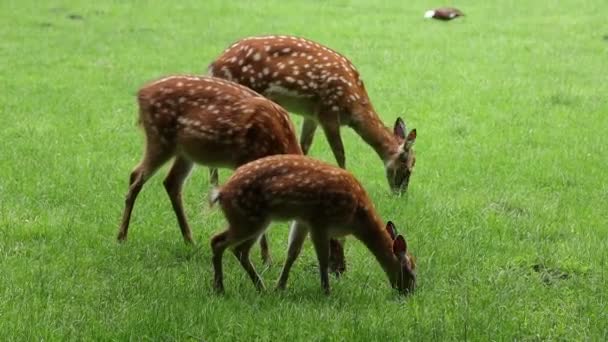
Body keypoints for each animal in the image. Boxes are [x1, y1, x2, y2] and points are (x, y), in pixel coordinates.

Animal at [114, 75, 304, 264]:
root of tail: (142, 93)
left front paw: (266, 257)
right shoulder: (247, 161)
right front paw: (267, 259)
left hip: (185, 151)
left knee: (171, 182)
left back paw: (189, 240)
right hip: (160, 138)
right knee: (136, 176)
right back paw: (121, 237)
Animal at [209, 35, 418, 195]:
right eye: (407, 168)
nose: (401, 195)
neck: (354, 105)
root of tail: (215, 65)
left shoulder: (311, 115)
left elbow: (304, 146)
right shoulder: (328, 112)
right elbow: (340, 153)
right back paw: (215, 185)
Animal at [210, 154, 418, 296]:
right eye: (410, 271)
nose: (409, 292)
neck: (357, 216)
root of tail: (221, 193)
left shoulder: (303, 220)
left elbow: (292, 252)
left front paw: (280, 287)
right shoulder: (320, 220)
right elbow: (323, 258)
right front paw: (327, 291)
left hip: (254, 220)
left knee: (239, 250)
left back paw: (261, 287)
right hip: (248, 218)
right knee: (218, 241)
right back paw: (220, 288)